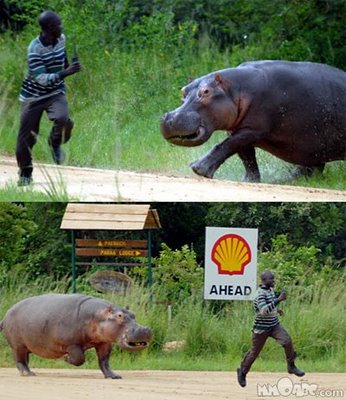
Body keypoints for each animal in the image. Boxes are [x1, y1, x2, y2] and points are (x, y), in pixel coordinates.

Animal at [0, 294, 151, 378]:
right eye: (119, 316)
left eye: (133, 314)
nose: (144, 329)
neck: (97, 316)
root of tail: (6, 314)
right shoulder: (71, 344)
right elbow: (80, 359)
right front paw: (66, 358)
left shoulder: (104, 343)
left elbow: (104, 361)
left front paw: (114, 376)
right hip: (18, 345)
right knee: (20, 360)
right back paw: (28, 374)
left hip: (26, 346)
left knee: (24, 360)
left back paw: (27, 372)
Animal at [162, 60, 346, 181]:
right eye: (183, 91)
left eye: (206, 91)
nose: (170, 118)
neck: (237, 89)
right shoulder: (238, 129)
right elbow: (246, 156)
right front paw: (249, 181)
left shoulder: (252, 129)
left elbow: (226, 145)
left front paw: (198, 168)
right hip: (314, 146)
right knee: (313, 166)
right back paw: (290, 179)